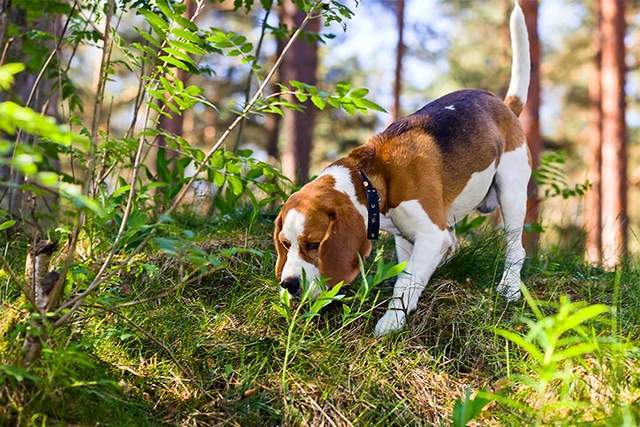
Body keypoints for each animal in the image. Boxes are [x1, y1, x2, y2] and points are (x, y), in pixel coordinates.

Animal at [272, 3, 532, 338]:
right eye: (285, 244)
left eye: (314, 245)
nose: (288, 284)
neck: (372, 181)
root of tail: (505, 106)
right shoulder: (406, 238)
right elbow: (408, 275)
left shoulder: (430, 235)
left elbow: (405, 282)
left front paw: (391, 322)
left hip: (511, 192)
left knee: (515, 248)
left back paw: (509, 287)